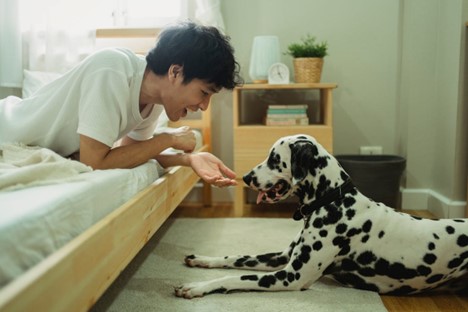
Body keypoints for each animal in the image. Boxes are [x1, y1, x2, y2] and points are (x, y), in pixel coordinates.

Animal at [176, 133, 468, 298]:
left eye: (274, 159)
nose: (246, 177)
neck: (333, 200)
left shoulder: (290, 276)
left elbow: (236, 277)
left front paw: (196, 287)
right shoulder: (282, 257)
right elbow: (235, 258)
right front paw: (203, 260)